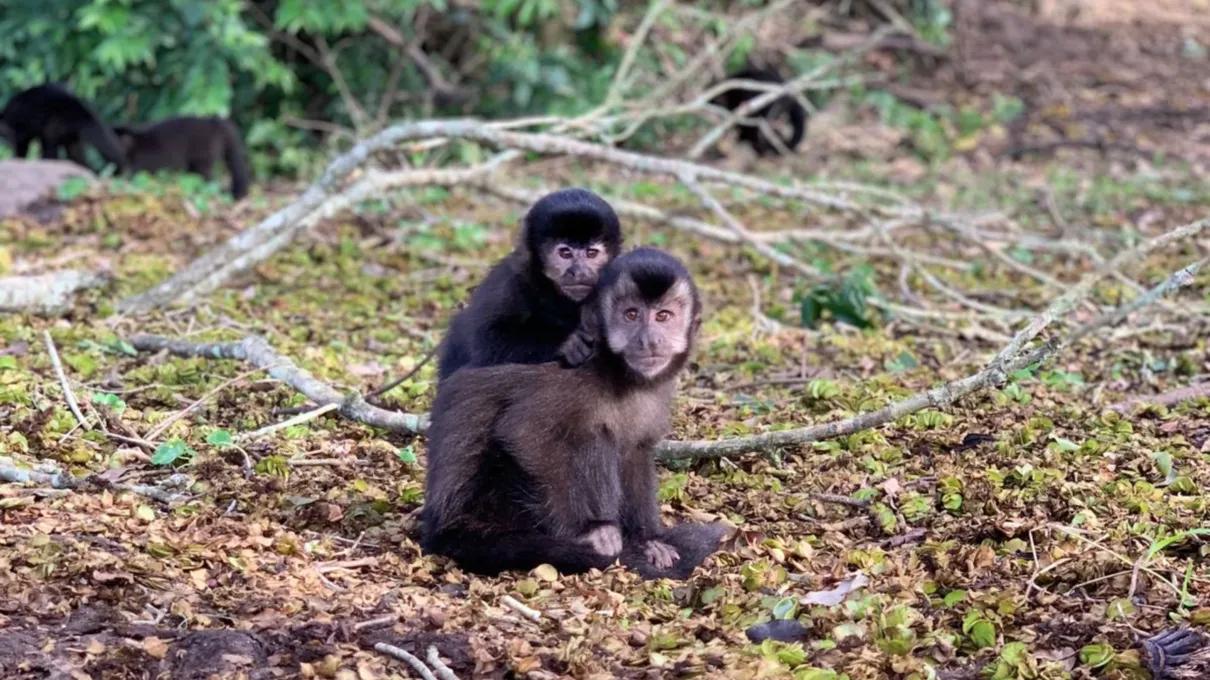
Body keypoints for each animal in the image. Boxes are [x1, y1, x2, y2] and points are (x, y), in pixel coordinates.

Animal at [423, 245, 726, 573]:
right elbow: (523, 432)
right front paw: (587, 532)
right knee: (591, 435)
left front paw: (648, 539)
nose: (649, 340)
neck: (617, 372)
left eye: (663, 316)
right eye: (631, 314)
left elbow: (636, 451)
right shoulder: (572, 378)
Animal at [435, 187, 624, 377]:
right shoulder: (511, 281)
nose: (579, 271)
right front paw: (566, 343)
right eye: (565, 253)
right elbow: (484, 342)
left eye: (591, 253)